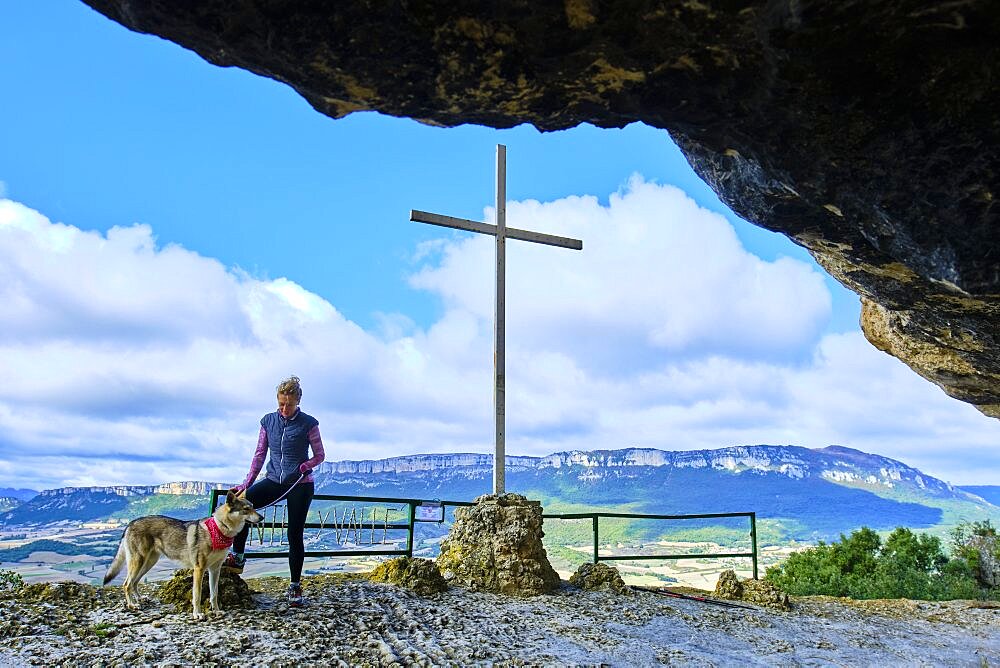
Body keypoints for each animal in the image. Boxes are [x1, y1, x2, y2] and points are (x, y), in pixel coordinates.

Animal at [102, 488, 262, 620]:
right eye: (246, 509)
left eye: (253, 507)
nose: (261, 518)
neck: (220, 529)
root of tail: (130, 523)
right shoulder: (199, 569)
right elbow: (197, 595)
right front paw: (197, 614)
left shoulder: (215, 570)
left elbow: (214, 594)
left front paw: (216, 611)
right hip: (138, 562)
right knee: (126, 584)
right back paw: (132, 605)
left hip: (148, 563)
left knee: (134, 582)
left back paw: (140, 599)